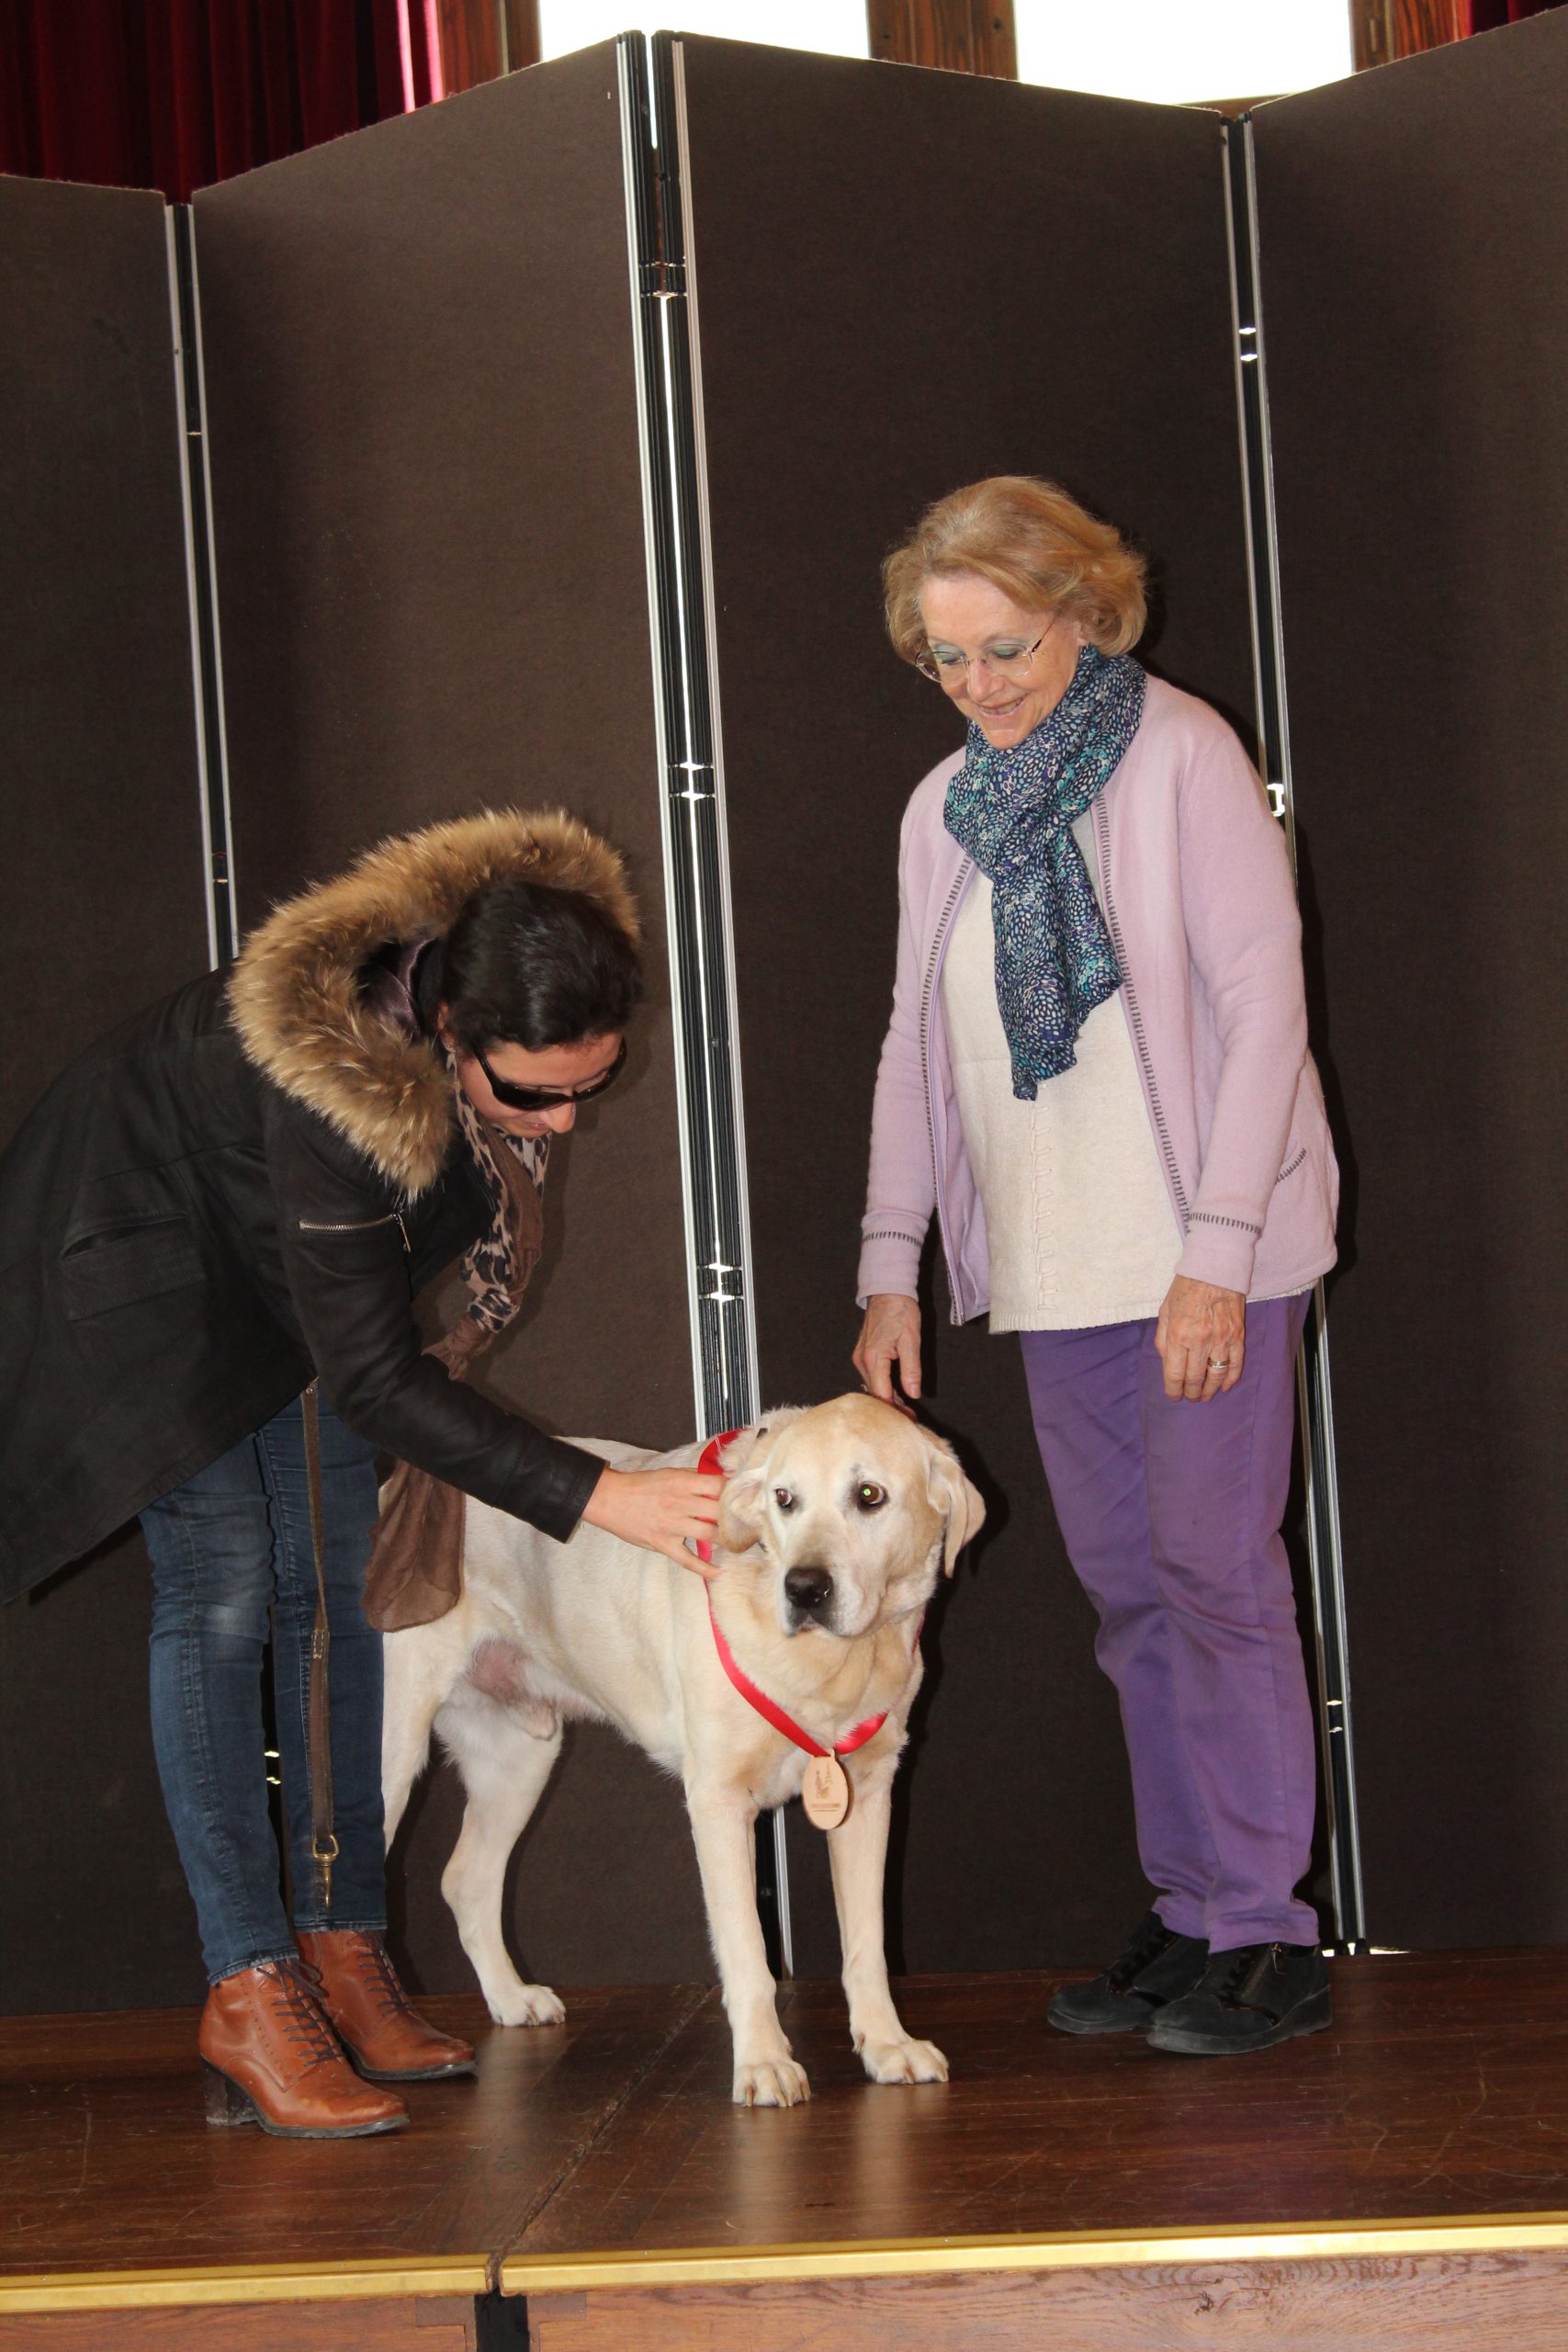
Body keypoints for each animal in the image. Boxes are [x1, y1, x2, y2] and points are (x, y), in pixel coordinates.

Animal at [383, 1383, 982, 2107]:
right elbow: (748, 1949)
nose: (804, 1589)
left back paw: (511, 1998)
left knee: (466, 1879)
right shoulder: (717, 1799)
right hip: (389, 1754)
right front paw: (763, 2064)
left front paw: (888, 2046)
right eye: (784, 1499)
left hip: (520, 1758)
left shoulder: (866, 1791)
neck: (828, 1667)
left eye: (869, 1496)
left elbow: (867, 1944)